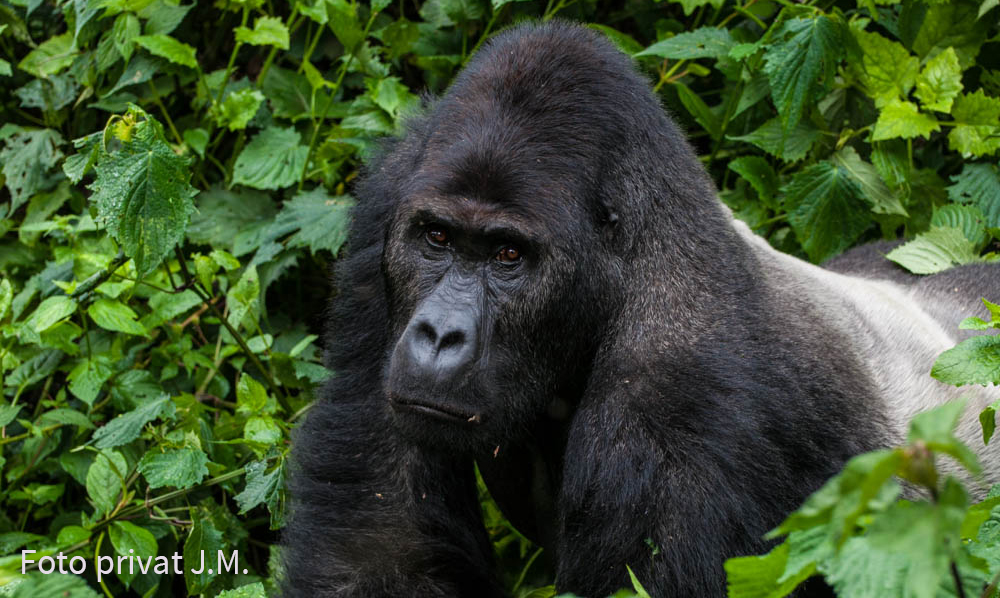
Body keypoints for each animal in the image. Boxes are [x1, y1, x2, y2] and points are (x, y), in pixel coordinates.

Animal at [282, 19, 1000, 598]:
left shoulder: (679, 396)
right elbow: (379, 541)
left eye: (509, 255)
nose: (437, 334)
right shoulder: (389, 195)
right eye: (436, 238)